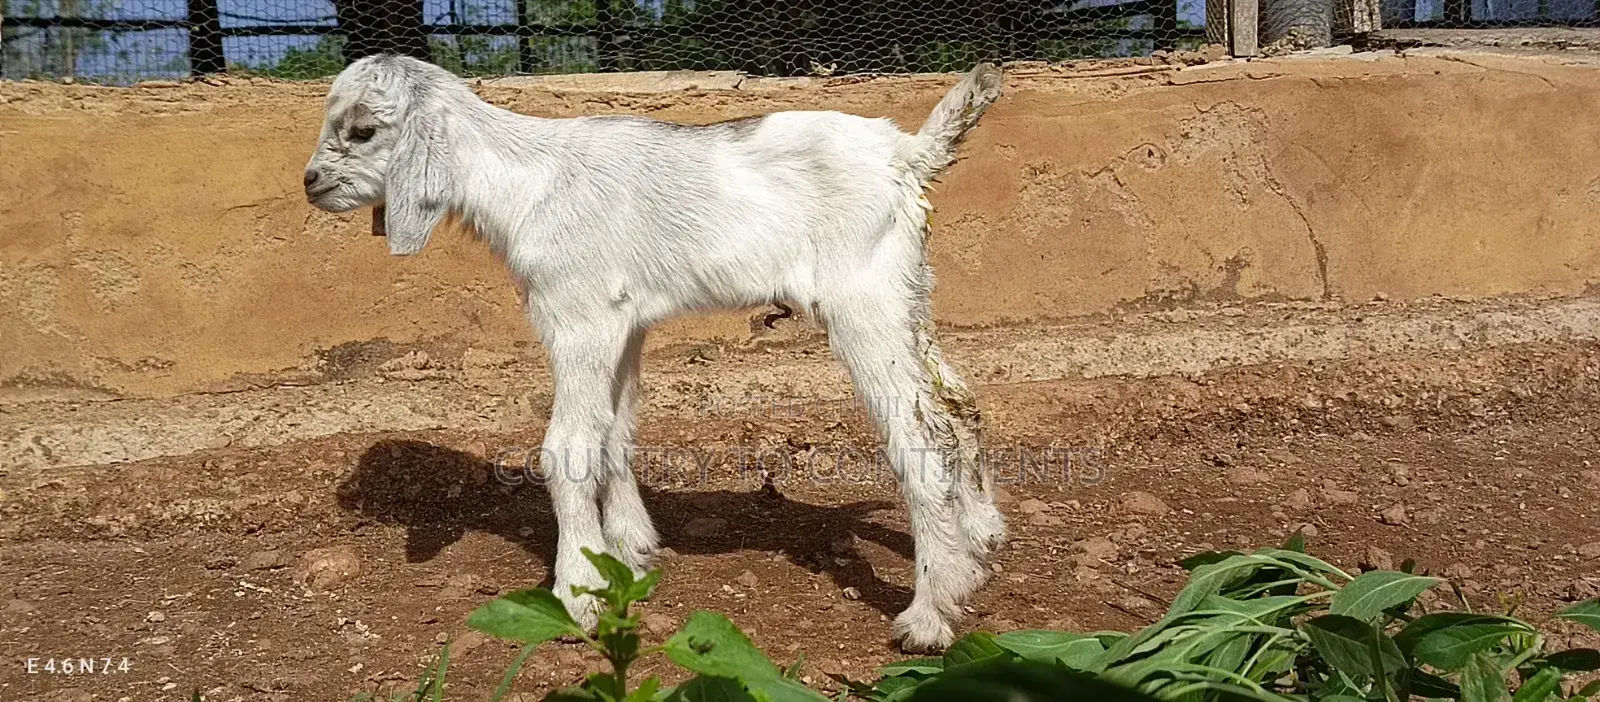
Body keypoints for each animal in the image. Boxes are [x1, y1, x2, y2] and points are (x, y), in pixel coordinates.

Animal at [303, 55, 1006, 651]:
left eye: (363, 130)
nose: (310, 183)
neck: (526, 182)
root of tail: (907, 154)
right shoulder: (623, 324)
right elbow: (614, 430)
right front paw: (626, 551)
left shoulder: (579, 319)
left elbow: (568, 447)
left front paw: (577, 594)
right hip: (907, 294)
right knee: (955, 403)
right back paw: (979, 539)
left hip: (862, 301)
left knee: (919, 430)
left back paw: (930, 613)